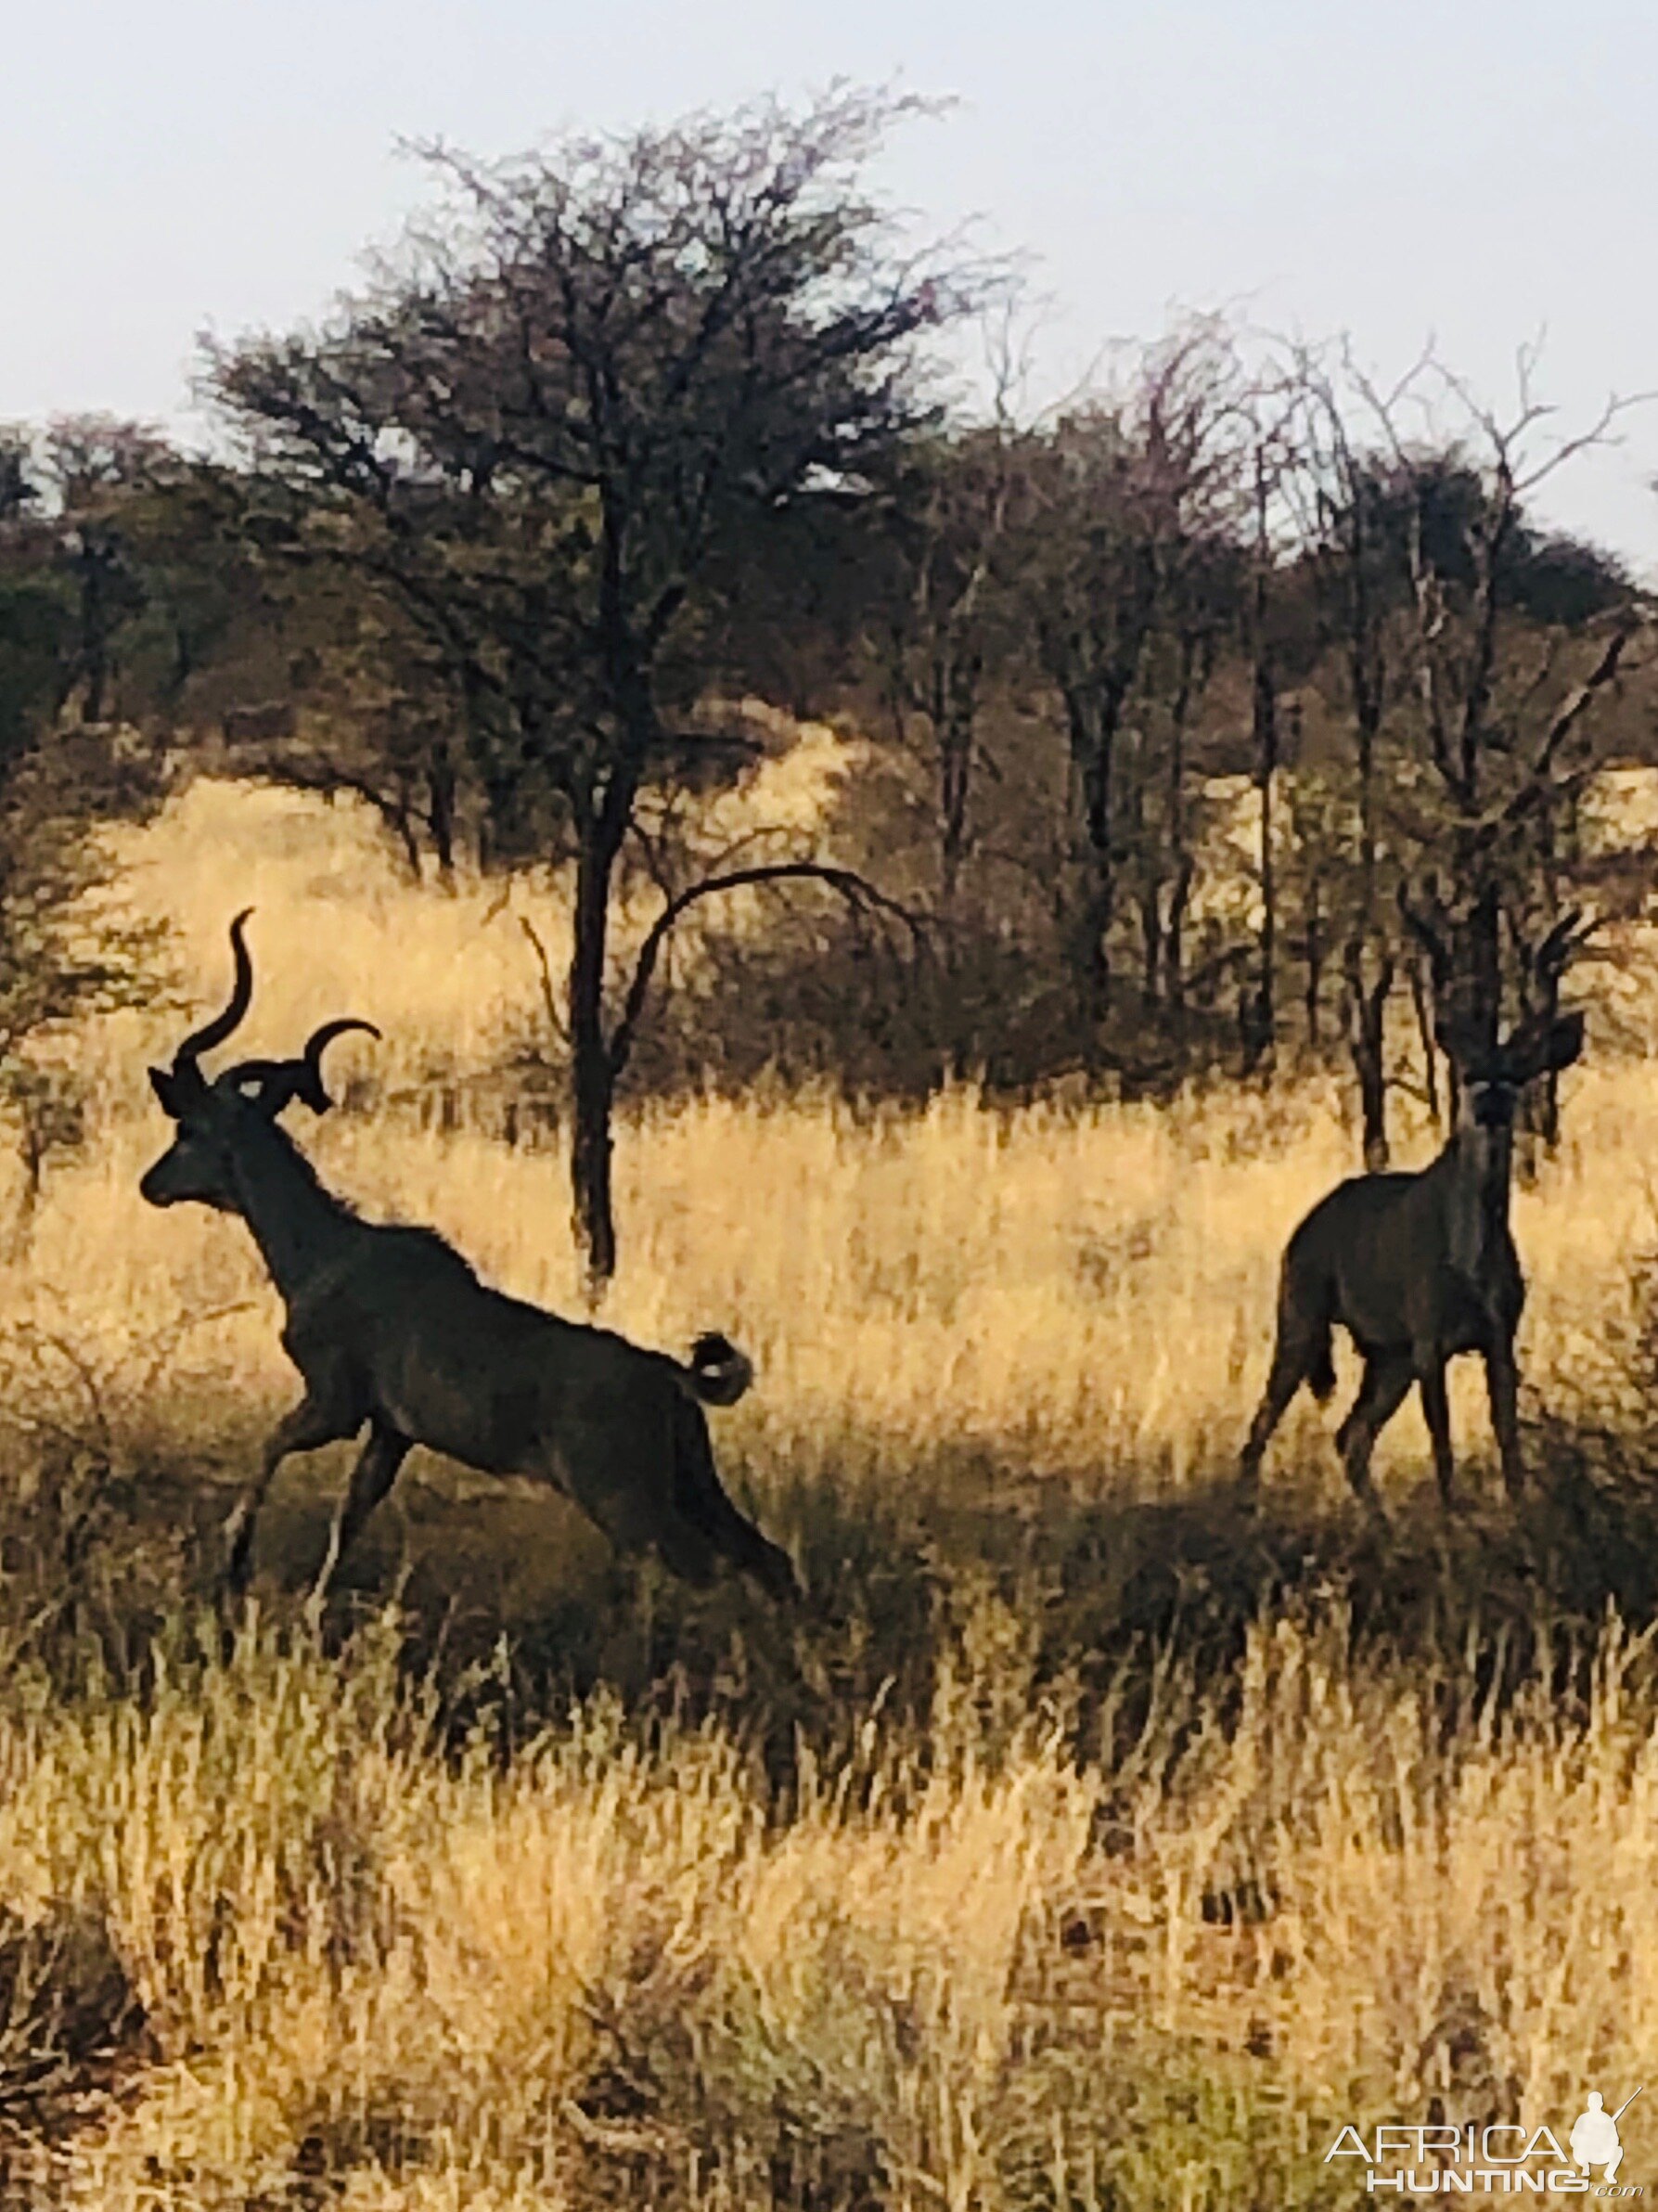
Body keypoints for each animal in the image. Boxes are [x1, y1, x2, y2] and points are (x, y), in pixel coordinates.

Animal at [136, 915, 800, 1610]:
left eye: (188, 1132)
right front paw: (315, 1603)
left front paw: (234, 1562)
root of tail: (671, 1377)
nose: (150, 1184)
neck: (324, 1250)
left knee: (705, 1570)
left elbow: (270, 1450)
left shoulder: (335, 1406)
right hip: (693, 1488)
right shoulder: (390, 1432)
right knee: (767, 1559)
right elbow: (350, 1517)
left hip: (624, 1499)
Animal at [1238, 907, 1591, 1512]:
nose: (1491, 1103)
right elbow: (1443, 1447)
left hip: (1386, 1355)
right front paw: (1453, 1519)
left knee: (1351, 1435)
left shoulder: (1497, 1337)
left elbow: (1509, 1442)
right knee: (1264, 1424)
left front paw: (1521, 1516)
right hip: (1302, 1313)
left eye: (1516, 1075)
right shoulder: (1429, 1338)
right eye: (1470, 1072)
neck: (1470, 1262)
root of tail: (1302, 1230)